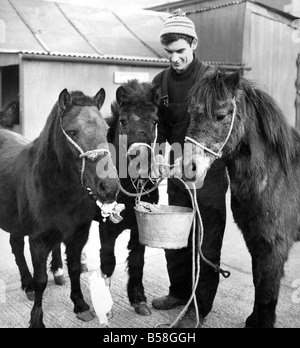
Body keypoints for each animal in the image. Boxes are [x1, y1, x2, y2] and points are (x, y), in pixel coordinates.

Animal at [0, 87, 120, 326]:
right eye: (73, 132)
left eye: (106, 130)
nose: (109, 187)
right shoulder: (38, 240)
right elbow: (41, 280)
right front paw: (36, 319)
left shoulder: (78, 235)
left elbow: (74, 268)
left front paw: (80, 304)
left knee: (15, 245)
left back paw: (26, 283)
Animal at [99, 79, 161, 316]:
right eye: (123, 121)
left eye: (155, 121)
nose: (141, 161)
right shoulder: (106, 229)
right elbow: (108, 261)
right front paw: (106, 307)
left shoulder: (139, 226)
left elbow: (137, 260)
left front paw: (138, 299)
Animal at [182, 69, 300, 328]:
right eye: (191, 113)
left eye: (220, 115)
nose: (189, 168)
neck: (278, 175)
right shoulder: (255, 239)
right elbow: (259, 281)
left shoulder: (274, 244)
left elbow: (268, 287)